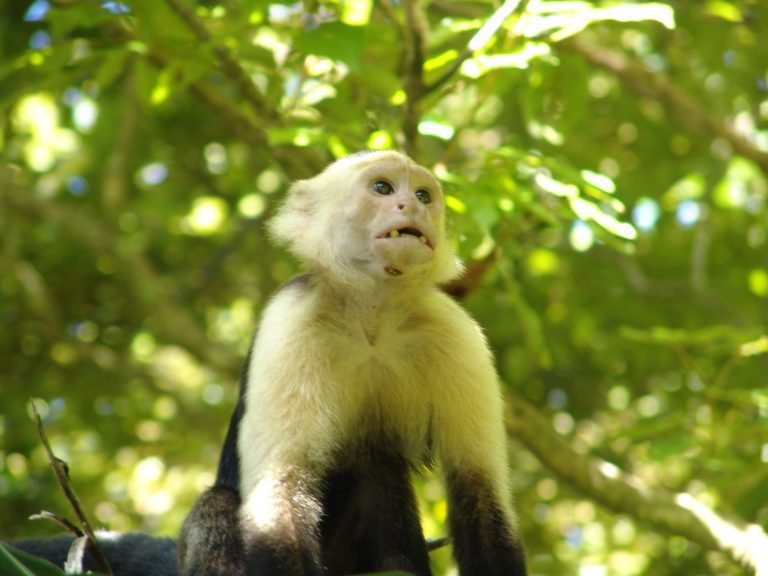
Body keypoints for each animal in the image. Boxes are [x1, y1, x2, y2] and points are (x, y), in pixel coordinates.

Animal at [179, 151, 528, 572]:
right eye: (382, 188)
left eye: (424, 195)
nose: (412, 206)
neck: (372, 319)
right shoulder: (290, 318)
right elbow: (281, 491)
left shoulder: (457, 332)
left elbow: (481, 492)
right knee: (216, 505)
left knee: (378, 465)